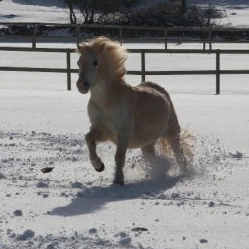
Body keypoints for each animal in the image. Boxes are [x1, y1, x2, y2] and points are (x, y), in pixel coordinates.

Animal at [76, 37, 189, 185]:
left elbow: (119, 157)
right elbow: (89, 138)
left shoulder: (123, 133)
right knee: (151, 157)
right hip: (147, 143)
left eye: (95, 62)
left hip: (171, 133)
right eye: (78, 62)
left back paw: (183, 173)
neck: (106, 102)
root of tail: (160, 90)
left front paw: (118, 180)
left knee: (179, 155)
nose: (81, 85)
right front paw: (99, 166)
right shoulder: (103, 131)